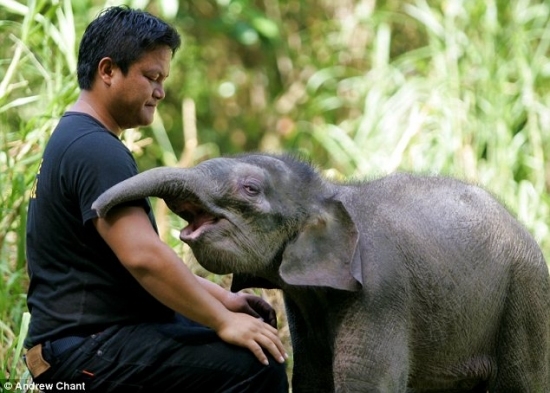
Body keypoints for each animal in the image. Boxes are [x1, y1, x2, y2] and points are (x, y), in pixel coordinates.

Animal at [92, 153, 548, 392]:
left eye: (250, 190)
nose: (96, 210)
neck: (329, 193)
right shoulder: (303, 305)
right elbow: (312, 377)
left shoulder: (382, 293)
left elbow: (364, 381)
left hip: (525, 297)